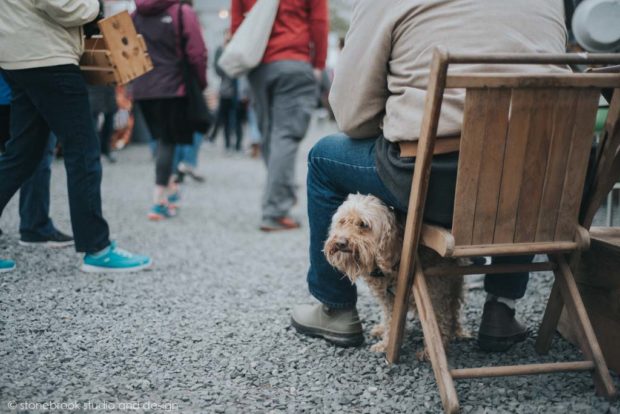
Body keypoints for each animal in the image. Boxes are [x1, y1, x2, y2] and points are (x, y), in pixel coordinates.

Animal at [324, 194, 464, 360]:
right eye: (342, 221)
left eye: (364, 225)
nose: (341, 242)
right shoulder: (389, 299)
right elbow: (390, 321)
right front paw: (386, 343)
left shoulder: (436, 291)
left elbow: (438, 320)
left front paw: (432, 351)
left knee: (453, 305)